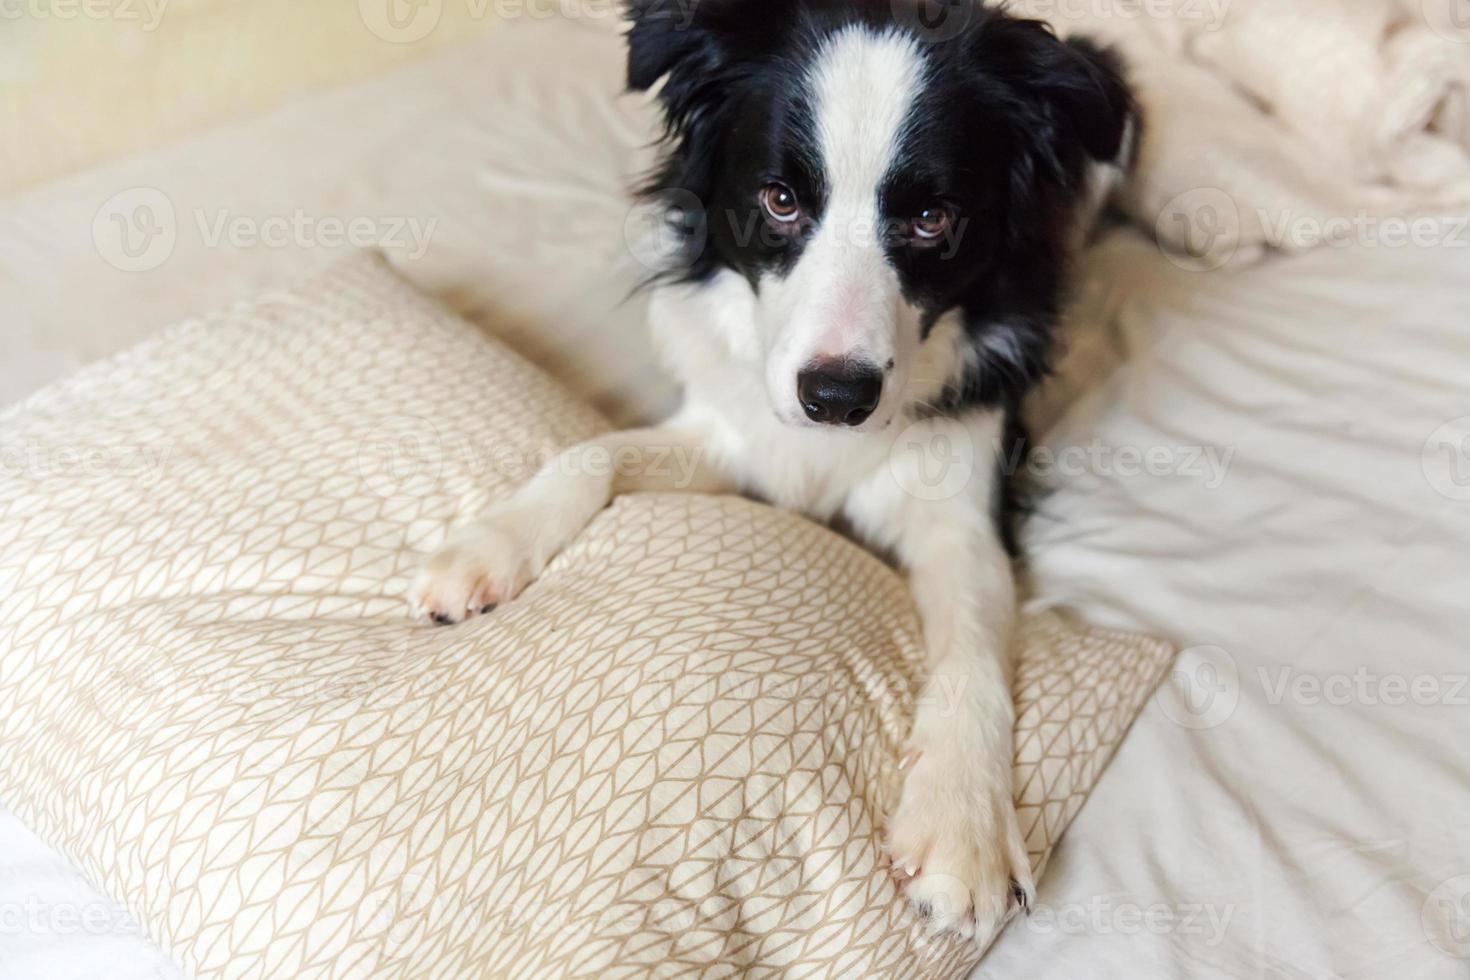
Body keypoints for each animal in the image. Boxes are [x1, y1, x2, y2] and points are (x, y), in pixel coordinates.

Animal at [414, 1, 1134, 952]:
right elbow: (592, 450)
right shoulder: (737, 432)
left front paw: (963, 829)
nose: (836, 398)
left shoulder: (964, 497)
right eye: (781, 200)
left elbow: (973, 648)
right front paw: (484, 548)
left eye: (933, 217)